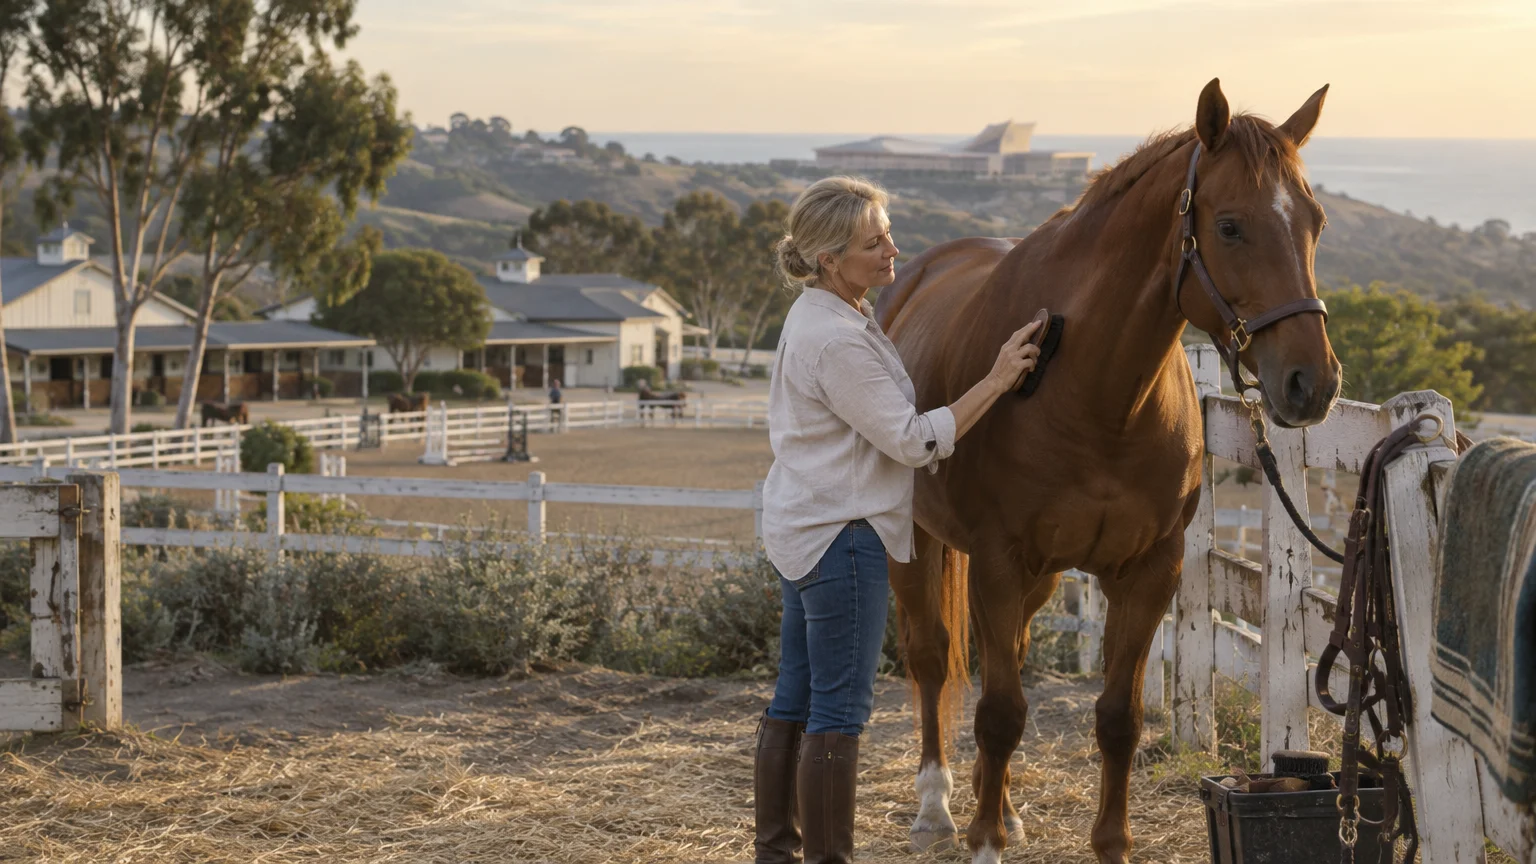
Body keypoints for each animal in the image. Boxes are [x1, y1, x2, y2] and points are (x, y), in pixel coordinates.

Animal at [874, 79, 1342, 864]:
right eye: (1231, 227)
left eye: (1315, 222)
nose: (1314, 383)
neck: (1094, 395)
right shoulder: (997, 562)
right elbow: (998, 712)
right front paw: (984, 842)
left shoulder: (1149, 570)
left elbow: (1117, 717)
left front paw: (1102, 840)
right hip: (918, 543)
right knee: (932, 657)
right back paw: (937, 806)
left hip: (1041, 579)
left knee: (1007, 656)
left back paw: (1000, 807)